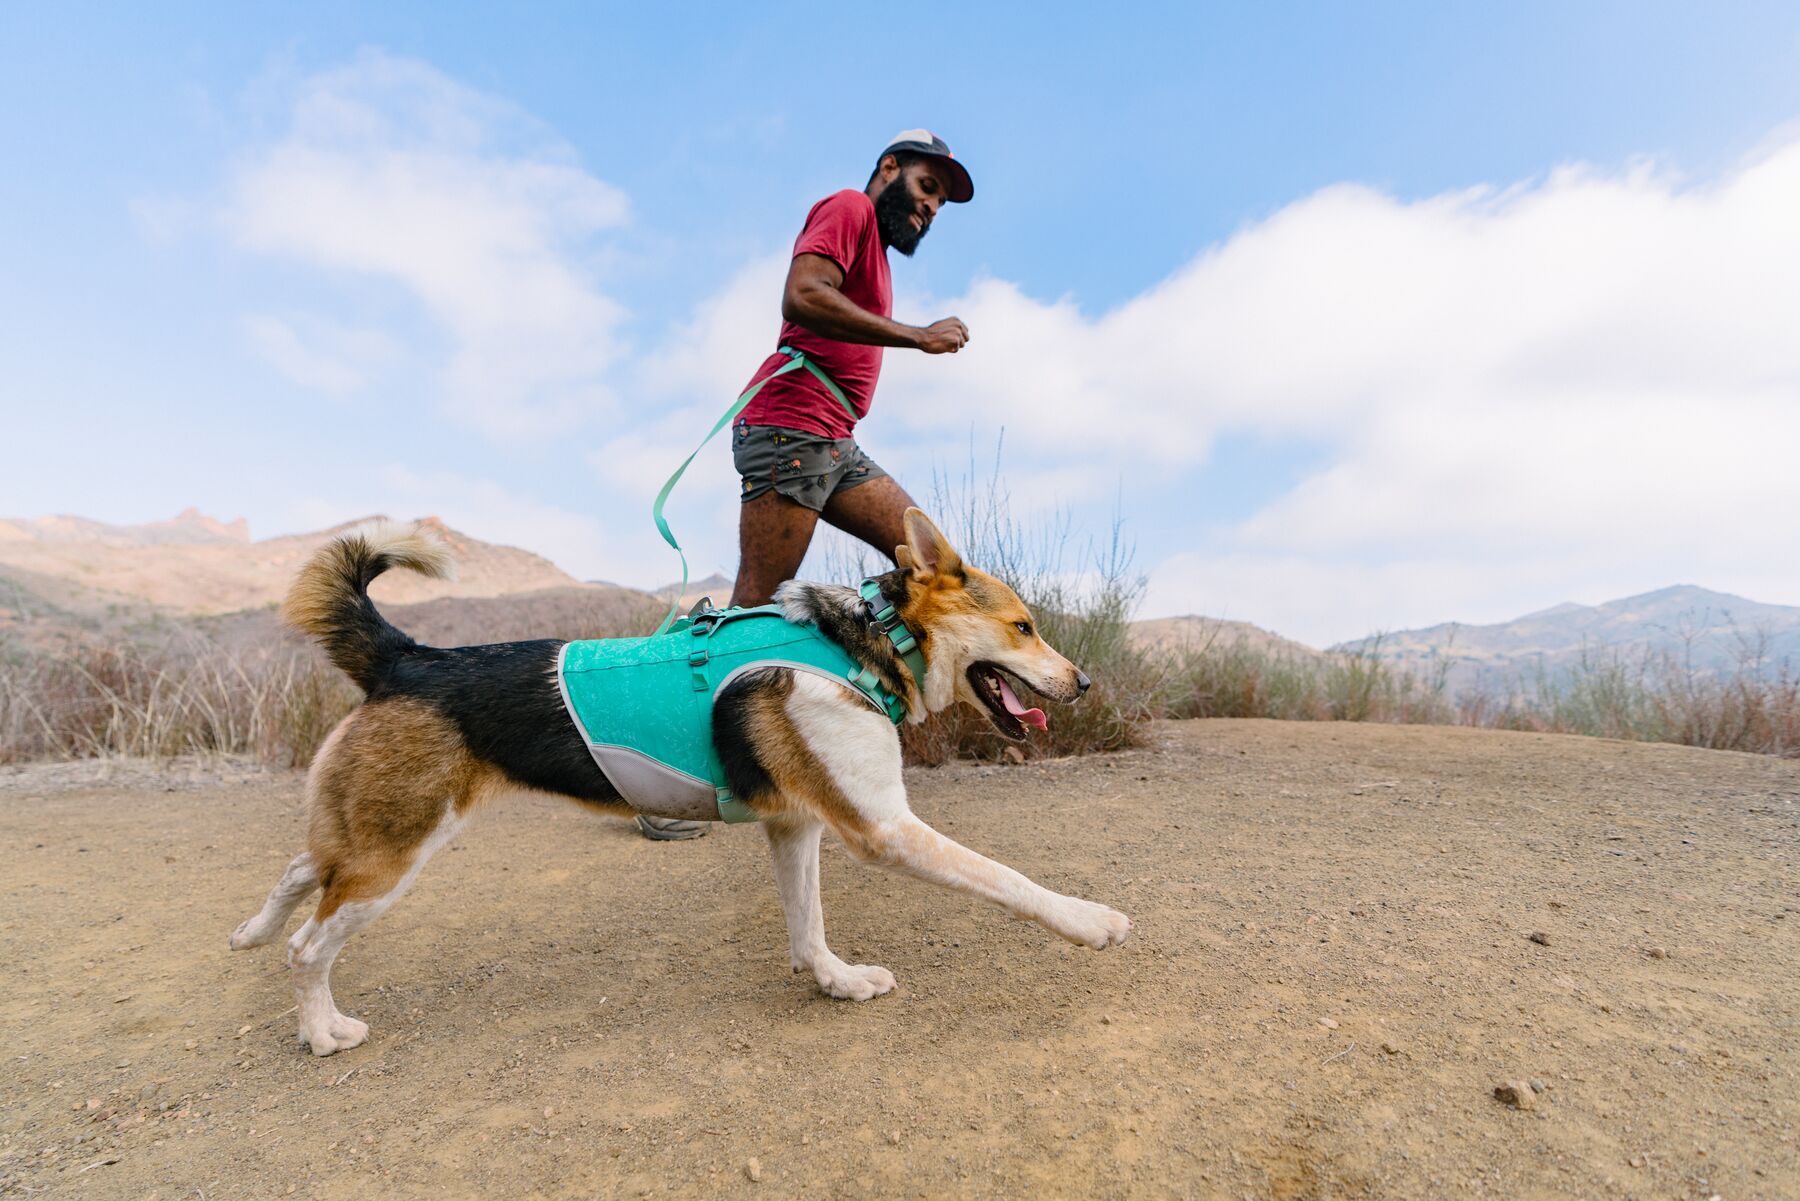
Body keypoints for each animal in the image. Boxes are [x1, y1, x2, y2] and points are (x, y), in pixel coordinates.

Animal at [232, 511, 1130, 1058]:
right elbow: (1007, 878)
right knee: (310, 944)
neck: (871, 641)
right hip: (397, 850)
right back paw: (321, 1029)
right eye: (1024, 627)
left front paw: (835, 982)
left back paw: (250, 928)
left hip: (374, 834)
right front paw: (1089, 919)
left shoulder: (795, 828)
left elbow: (808, 925)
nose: (1085, 682)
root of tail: (408, 655)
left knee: (301, 867)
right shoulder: (884, 829)